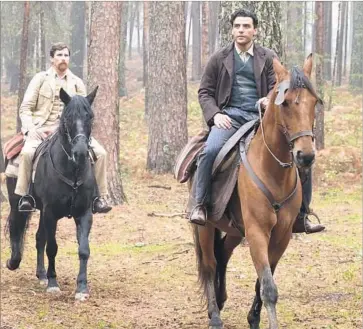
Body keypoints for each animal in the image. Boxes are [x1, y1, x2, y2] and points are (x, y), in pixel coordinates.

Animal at [6, 86, 99, 300]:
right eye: (68, 118)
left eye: (90, 116)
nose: (80, 153)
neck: (73, 171)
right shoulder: (50, 212)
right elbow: (52, 247)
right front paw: (53, 284)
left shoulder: (84, 213)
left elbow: (84, 249)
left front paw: (82, 288)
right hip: (17, 203)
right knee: (17, 229)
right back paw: (14, 262)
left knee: (39, 238)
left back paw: (41, 275)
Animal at [193, 54, 322, 328]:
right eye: (285, 104)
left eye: (314, 102)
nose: (305, 156)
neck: (273, 172)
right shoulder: (257, 232)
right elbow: (268, 287)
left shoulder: (282, 235)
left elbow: (262, 282)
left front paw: (254, 318)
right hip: (205, 227)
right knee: (209, 264)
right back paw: (214, 315)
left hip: (234, 229)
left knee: (223, 254)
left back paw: (221, 300)